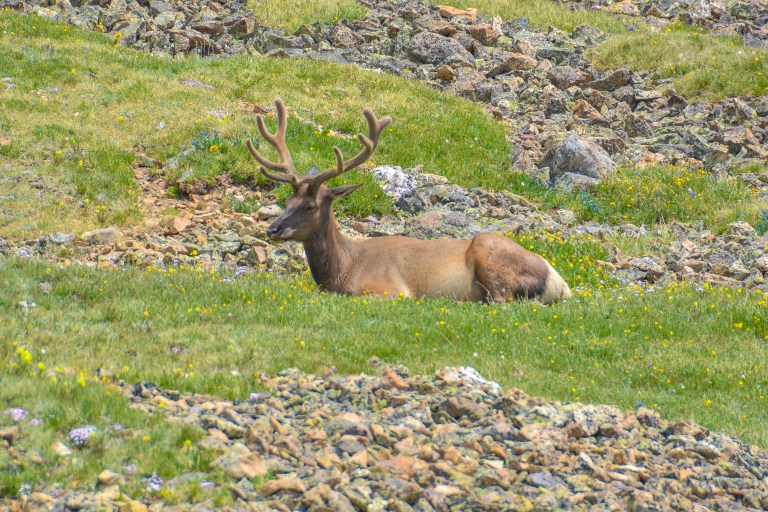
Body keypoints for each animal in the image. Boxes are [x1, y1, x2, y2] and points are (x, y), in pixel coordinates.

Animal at [246, 99, 572, 304]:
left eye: (310, 206)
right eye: (287, 199)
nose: (272, 229)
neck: (344, 270)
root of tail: (559, 281)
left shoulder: (390, 289)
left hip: (489, 253)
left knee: (502, 301)